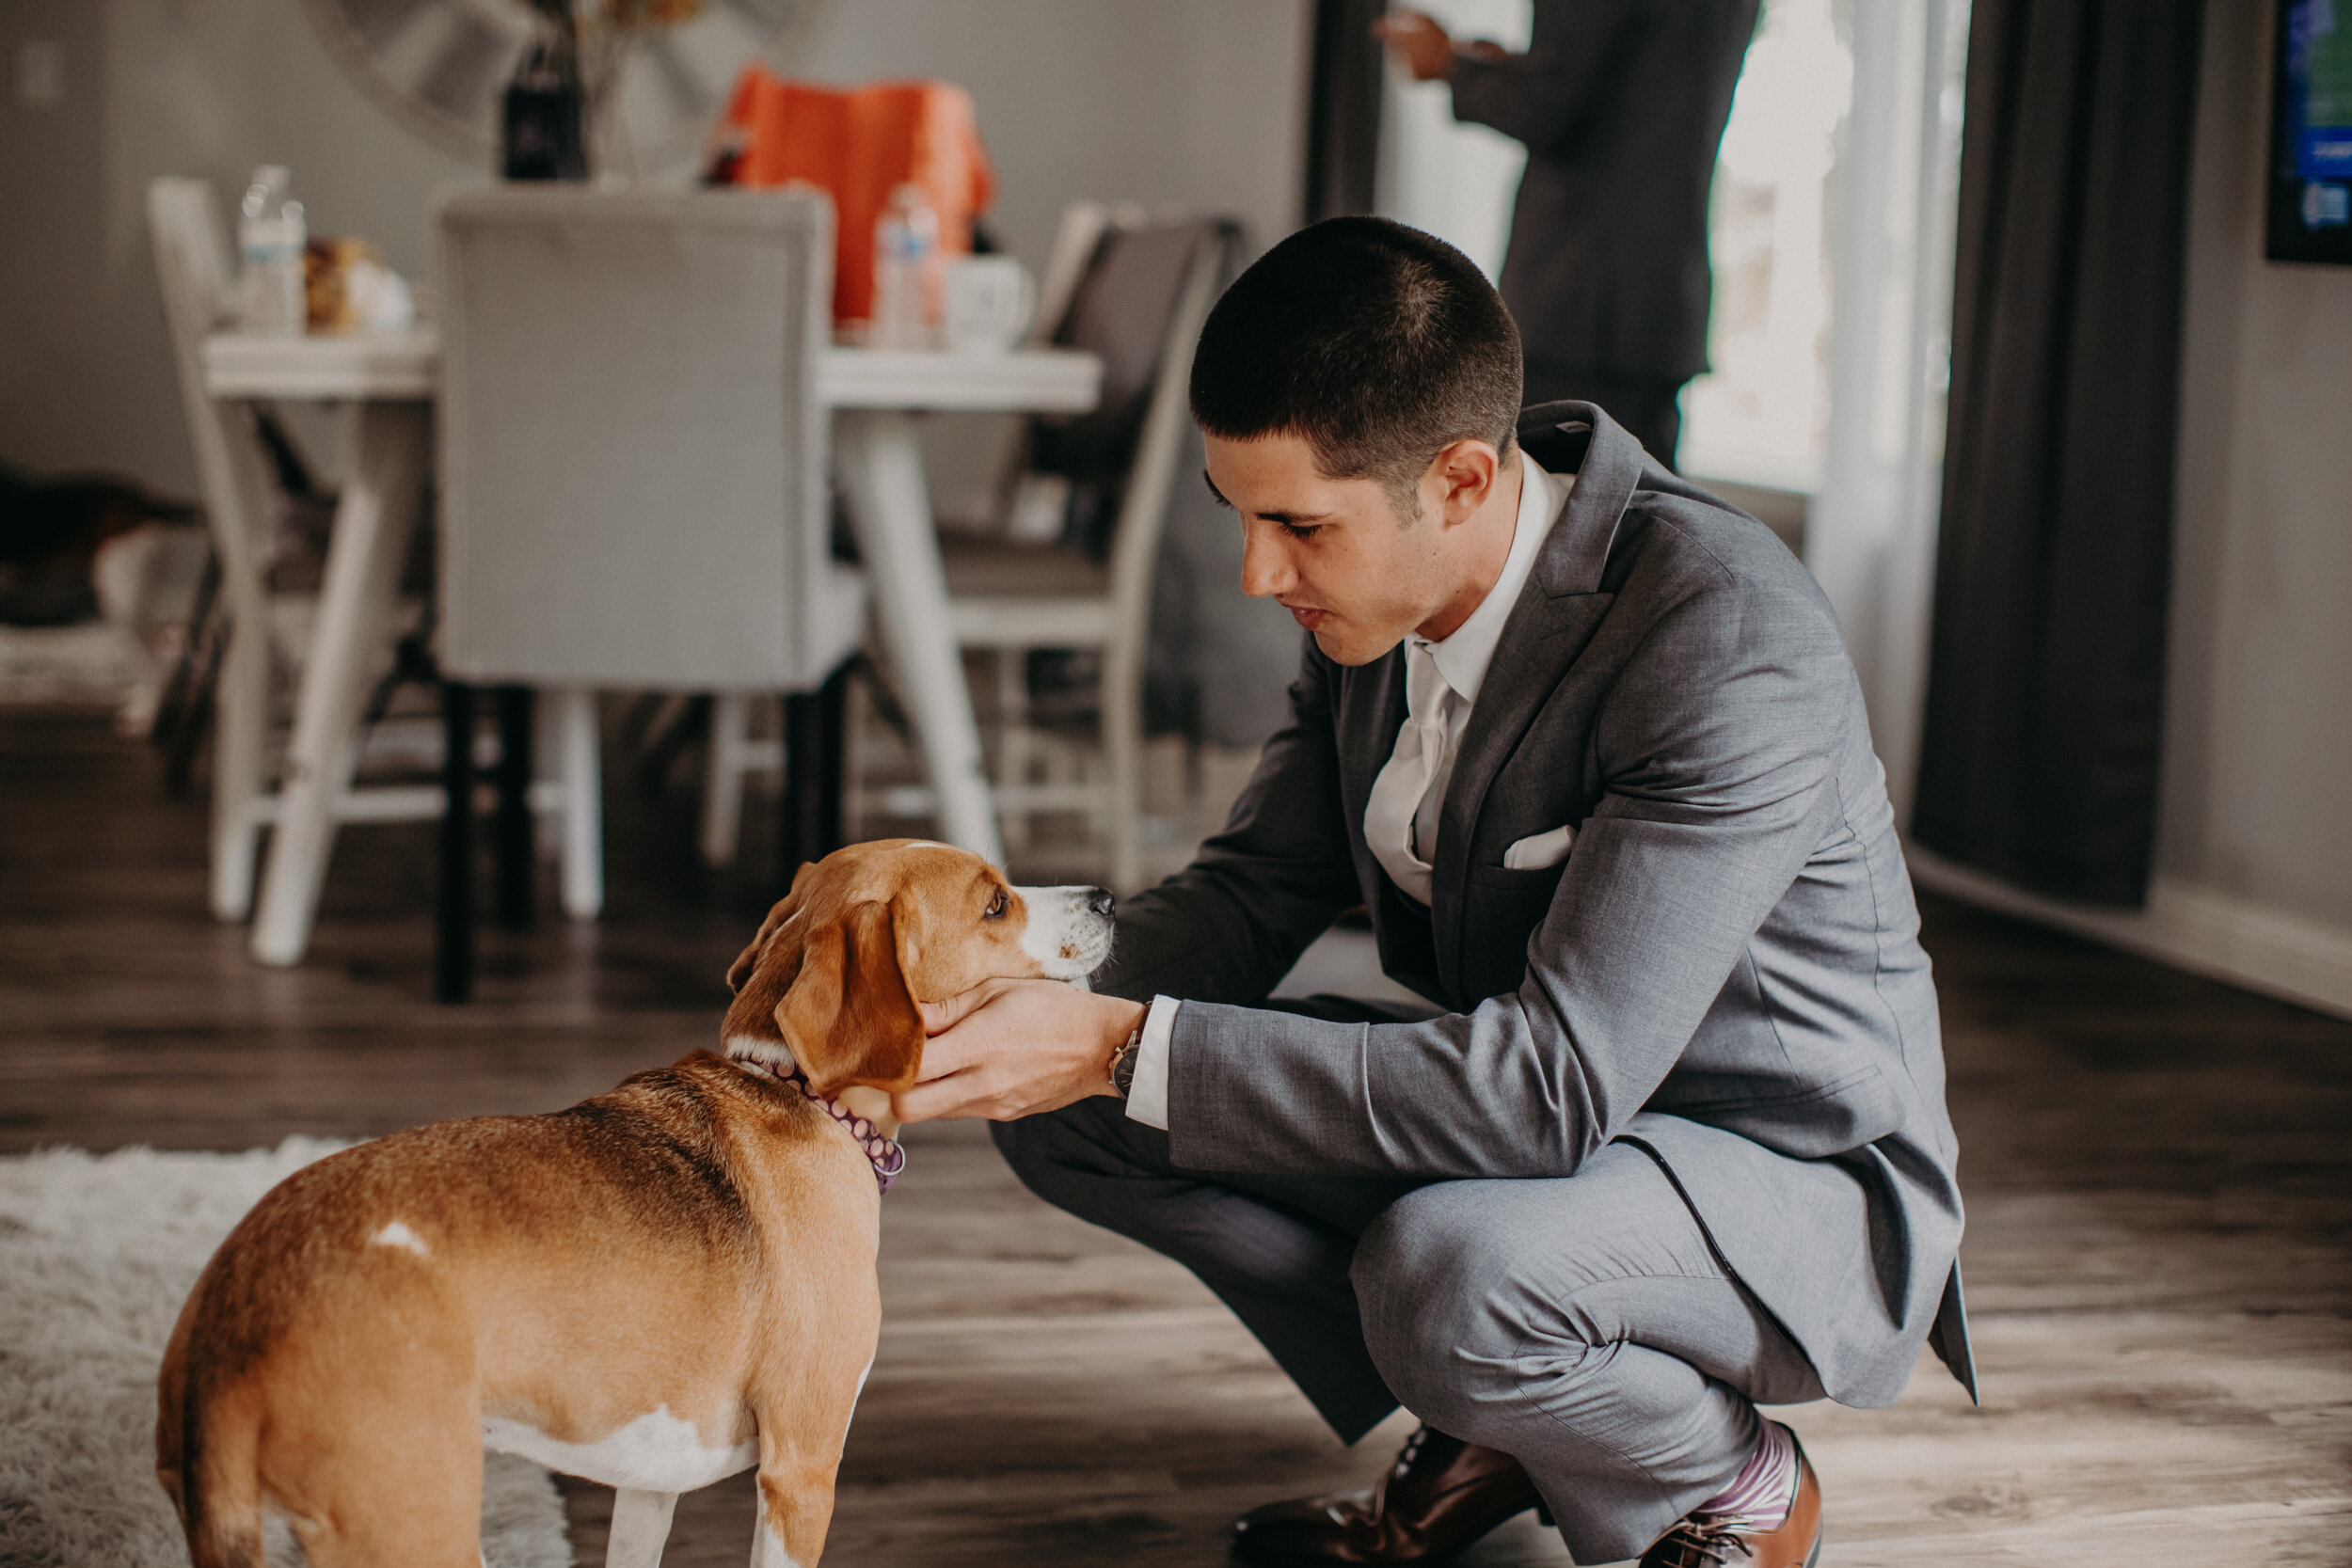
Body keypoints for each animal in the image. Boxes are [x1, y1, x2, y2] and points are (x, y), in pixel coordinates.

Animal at [161, 841, 1115, 1568]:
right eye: (995, 903)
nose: (1108, 895)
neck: (796, 1090)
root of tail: (235, 1318)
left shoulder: (650, 1479)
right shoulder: (801, 1469)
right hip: (416, 1529)